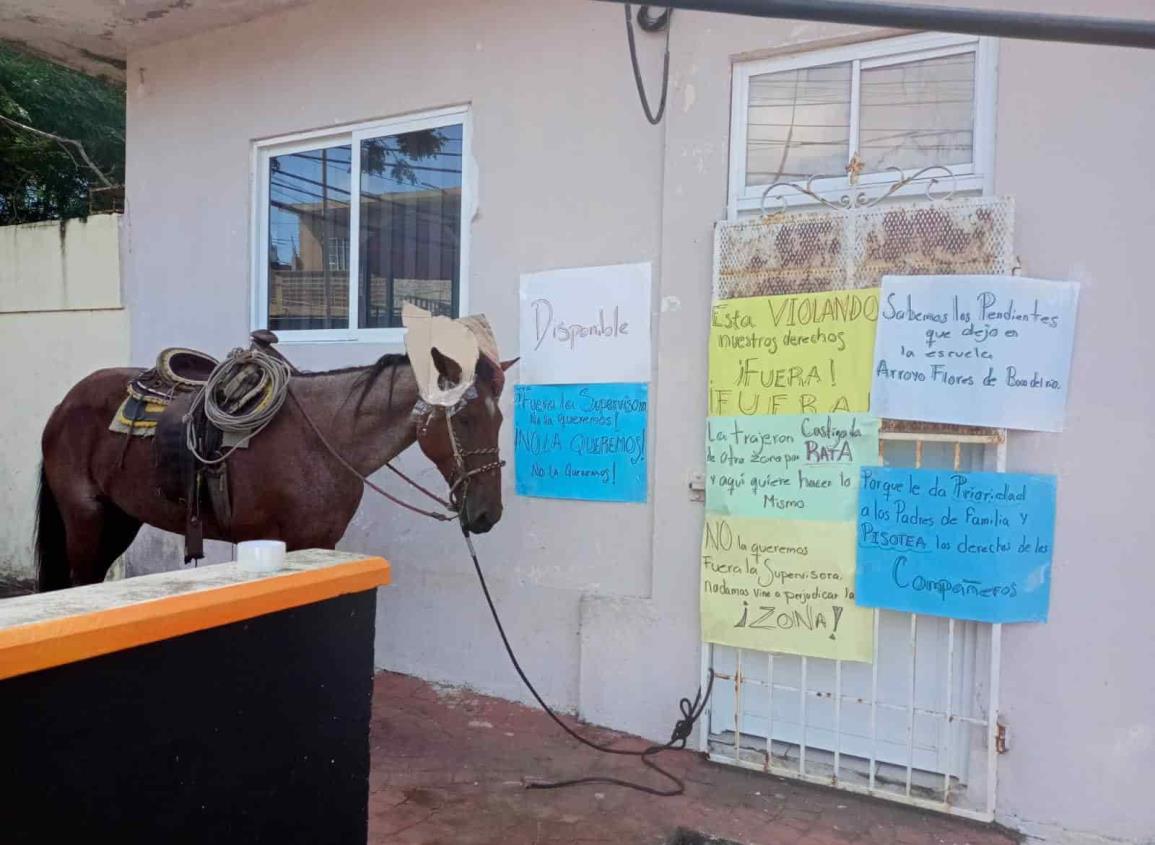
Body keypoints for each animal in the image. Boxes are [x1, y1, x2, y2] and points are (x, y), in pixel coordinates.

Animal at [32, 344, 510, 595]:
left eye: (500, 418)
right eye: (465, 419)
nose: (488, 514)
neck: (326, 436)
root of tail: (63, 404)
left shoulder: (325, 542)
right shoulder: (298, 541)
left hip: (120, 517)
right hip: (85, 516)